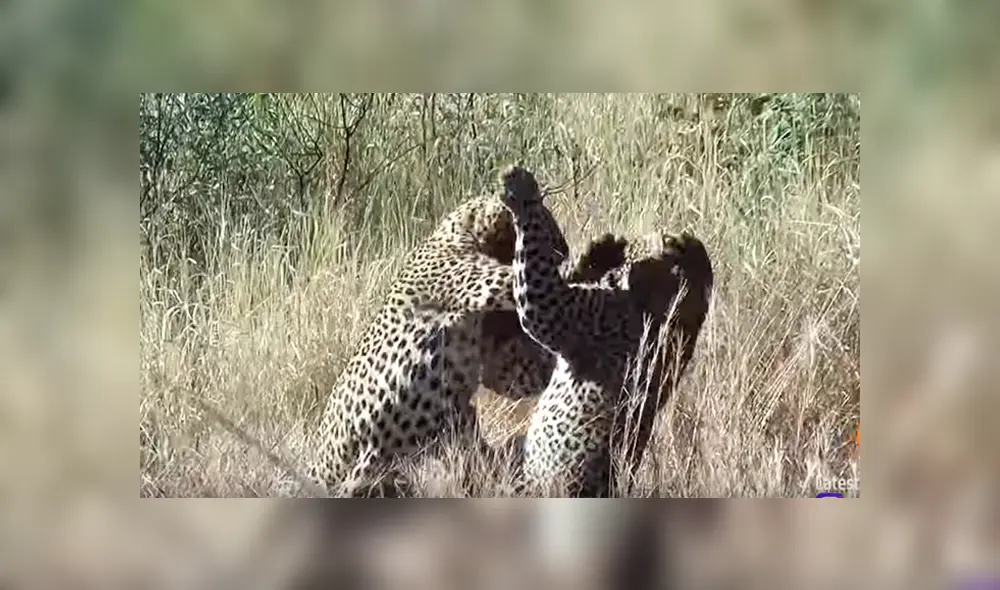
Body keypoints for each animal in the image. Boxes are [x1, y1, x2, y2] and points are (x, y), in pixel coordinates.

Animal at [498, 165, 714, 498]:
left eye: (672, 242)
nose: (679, 234)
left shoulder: (555, 309)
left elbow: (534, 268)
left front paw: (521, 187)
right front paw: (601, 248)